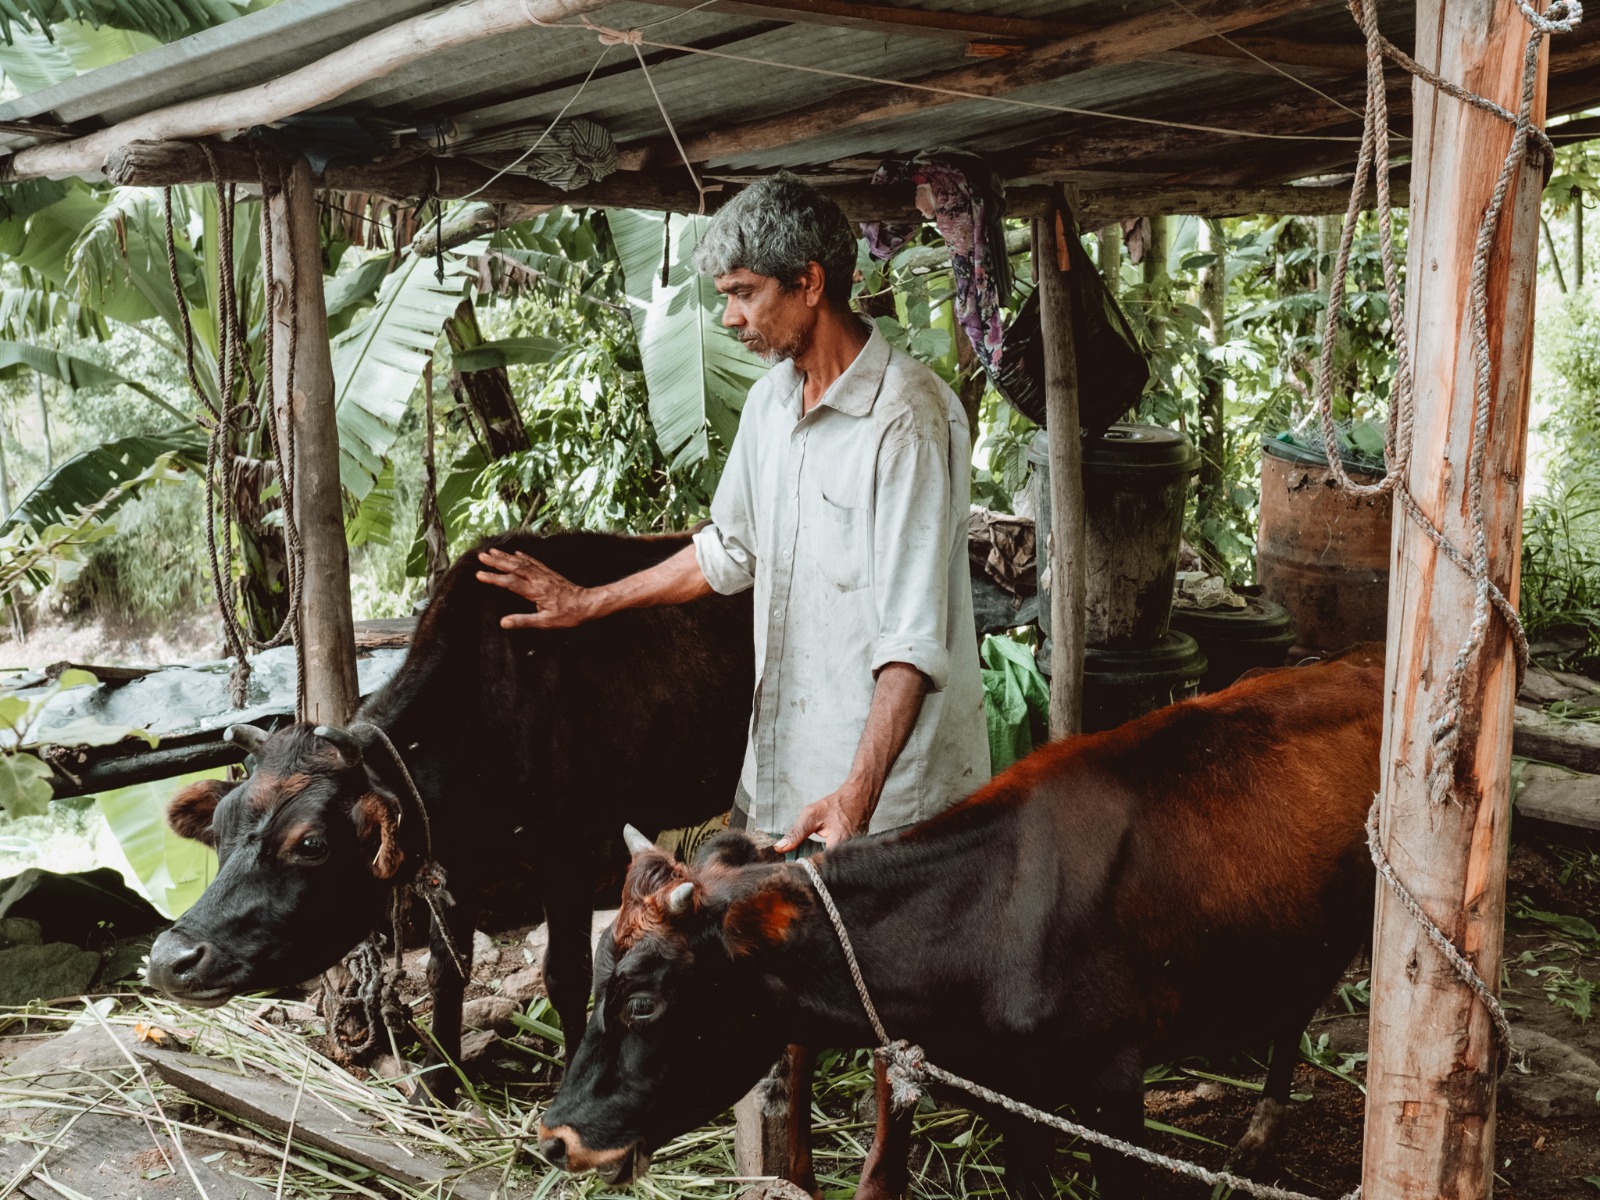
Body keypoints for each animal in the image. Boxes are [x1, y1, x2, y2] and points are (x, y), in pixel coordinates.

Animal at [145, 530, 754, 1093]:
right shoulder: (454, 865)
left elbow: (567, 974)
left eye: (311, 844)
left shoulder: (573, 856)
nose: (169, 958)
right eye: (219, 829)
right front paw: (436, 1085)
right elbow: (447, 971)